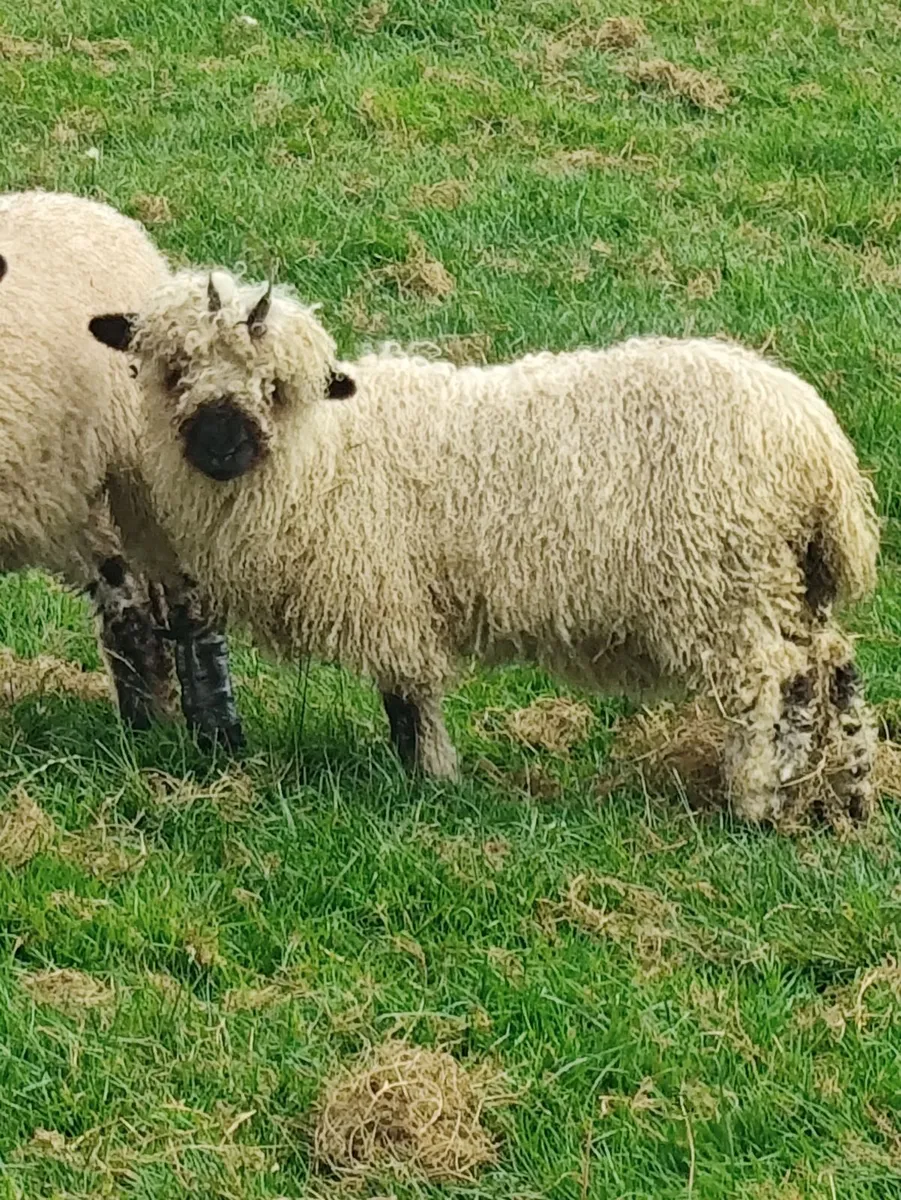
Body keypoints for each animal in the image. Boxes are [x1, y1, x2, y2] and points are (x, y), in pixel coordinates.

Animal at [0, 191, 243, 746]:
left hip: (146, 470)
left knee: (184, 594)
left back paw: (214, 731)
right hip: (80, 492)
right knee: (125, 593)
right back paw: (146, 723)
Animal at [90, 268, 881, 824]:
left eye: (277, 387)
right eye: (173, 370)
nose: (220, 446)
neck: (325, 455)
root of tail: (819, 449)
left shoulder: (390, 597)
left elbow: (407, 698)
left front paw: (429, 780)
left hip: (723, 586)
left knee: (777, 682)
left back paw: (757, 803)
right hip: (787, 579)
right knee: (833, 667)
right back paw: (846, 794)